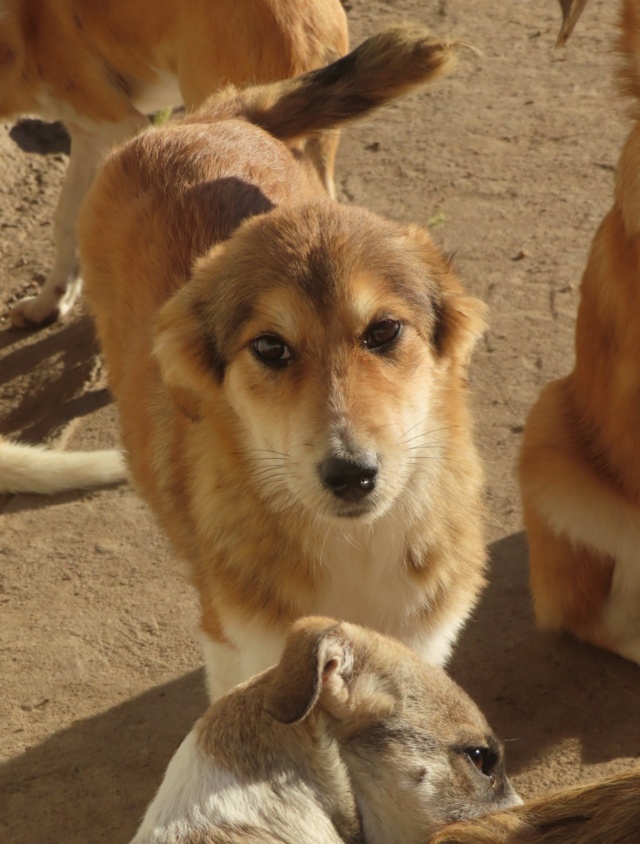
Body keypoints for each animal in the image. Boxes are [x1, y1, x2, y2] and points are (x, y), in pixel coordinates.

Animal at [81, 28, 490, 700]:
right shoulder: (238, 648)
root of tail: (206, 119)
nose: (351, 475)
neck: (355, 544)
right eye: (270, 348)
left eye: (384, 331)